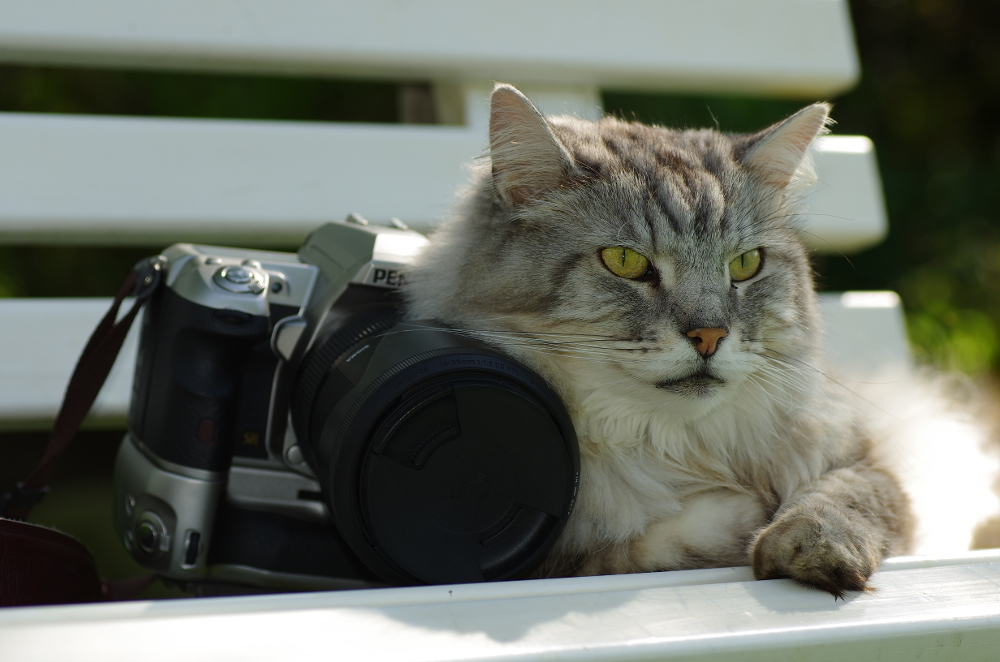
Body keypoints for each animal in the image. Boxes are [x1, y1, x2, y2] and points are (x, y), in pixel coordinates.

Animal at [404, 85, 992, 600]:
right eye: (625, 261)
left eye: (746, 264)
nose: (710, 335)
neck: (675, 447)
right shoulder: (550, 560)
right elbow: (651, 545)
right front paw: (746, 521)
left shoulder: (866, 461)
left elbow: (840, 499)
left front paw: (809, 543)